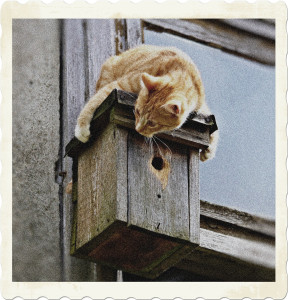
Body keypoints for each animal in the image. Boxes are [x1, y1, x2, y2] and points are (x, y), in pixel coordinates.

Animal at [75, 44, 218, 162]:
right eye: (137, 111)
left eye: (152, 123)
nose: (138, 129)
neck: (184, 72)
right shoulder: (119, 85)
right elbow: (95, 100)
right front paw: (81, 127)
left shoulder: (201, 106)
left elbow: (213, 122)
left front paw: (210, 149)